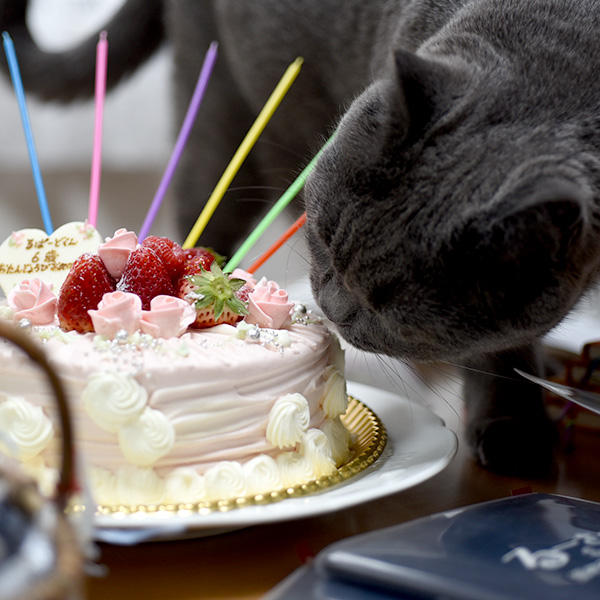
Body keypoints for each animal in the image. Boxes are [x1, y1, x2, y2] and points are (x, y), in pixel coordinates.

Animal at [2, 0, 592, 476]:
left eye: (389, 307)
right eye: (322, 235)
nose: (332, 304)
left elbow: (503, 348)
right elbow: (502, 349)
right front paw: (514, 425)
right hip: (220, 116)